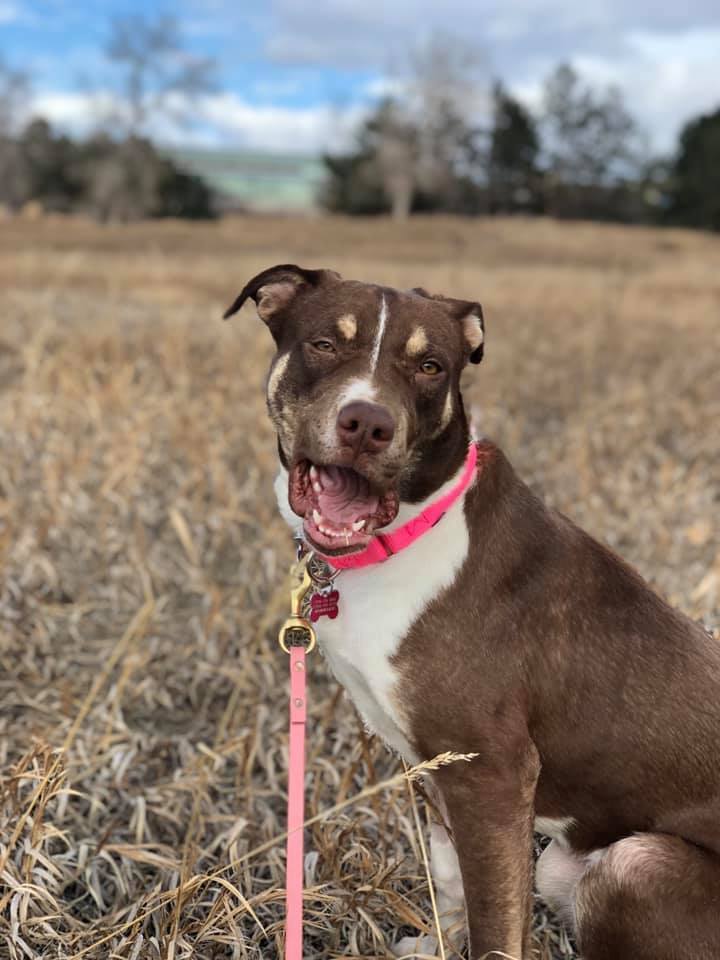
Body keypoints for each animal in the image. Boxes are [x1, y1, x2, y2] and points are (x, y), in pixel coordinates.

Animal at [225, 264, 720, 960]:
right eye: (324, 344)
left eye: (430, 366)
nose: (366, 423)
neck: (413, 530)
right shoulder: (437, 766)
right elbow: (453, 876)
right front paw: (437, 945)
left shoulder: (494, 772)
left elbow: (494, 925)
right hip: (564, 863)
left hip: (633, 867)